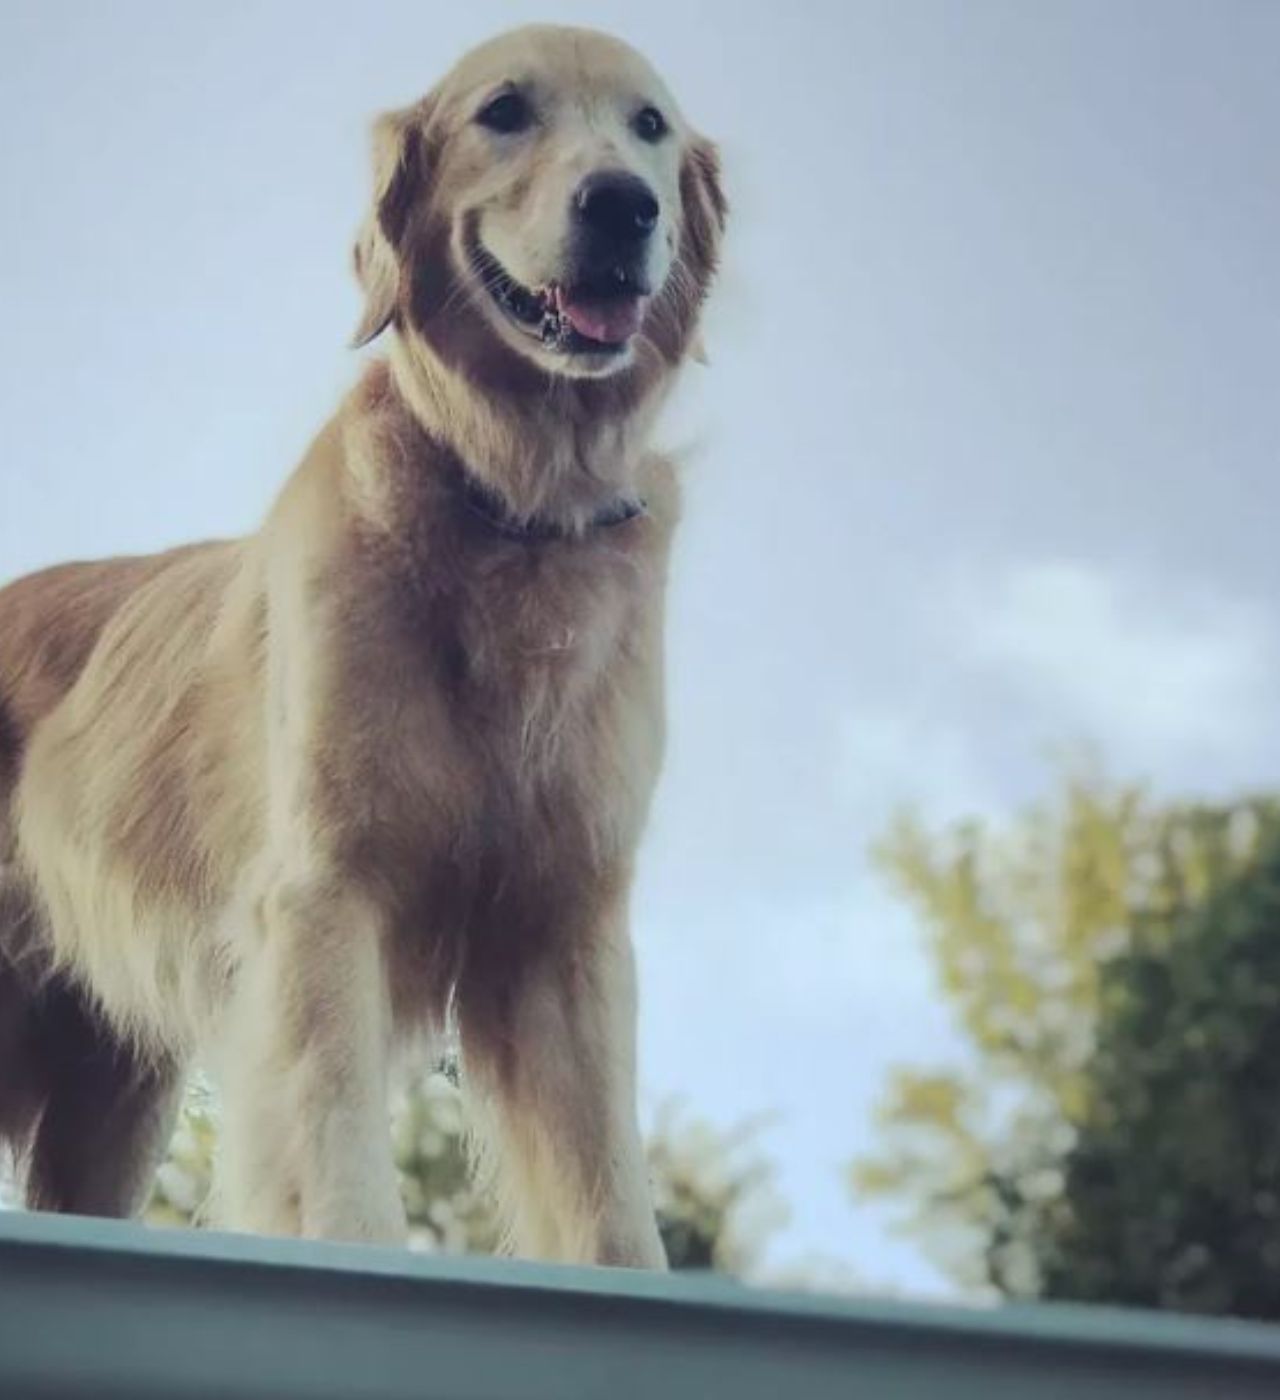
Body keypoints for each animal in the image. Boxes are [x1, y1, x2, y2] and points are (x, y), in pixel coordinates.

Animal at [0, 24, 717, 1271]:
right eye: (504, 111)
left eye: (649, 127)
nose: (622, 204)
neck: (512, 505)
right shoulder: (325, 894)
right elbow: (333, 1149)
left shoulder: (561, 921)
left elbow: (607, 1202)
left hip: (111, 1094)